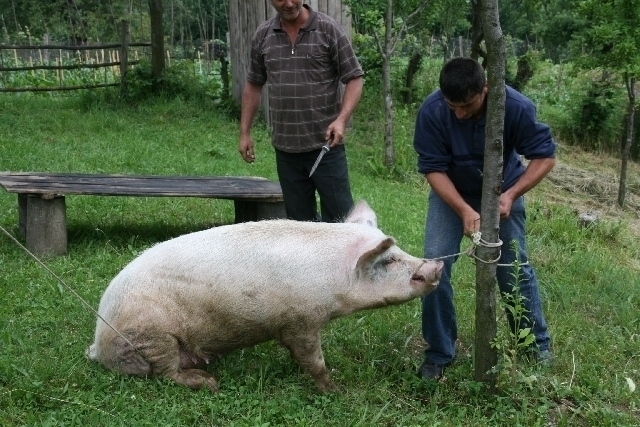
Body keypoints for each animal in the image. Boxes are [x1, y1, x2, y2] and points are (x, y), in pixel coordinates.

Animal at [87, 202, 442, 392]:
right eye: (388, 260)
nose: (436, 266)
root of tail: (98, 344)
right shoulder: (300, 319)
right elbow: (313, 359)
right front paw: (335, 389)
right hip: (152, 335)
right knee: (166, 373)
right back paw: (209, 382)